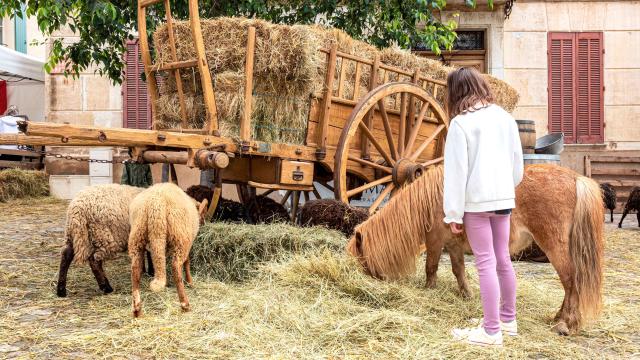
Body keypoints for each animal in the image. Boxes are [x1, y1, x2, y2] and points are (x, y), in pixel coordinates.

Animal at [129, 184, 209, 316]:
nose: (204, 223)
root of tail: (156, 205)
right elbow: (187, 262)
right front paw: (190, 282)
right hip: (180, 239)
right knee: (176, 266)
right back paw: (185, 304)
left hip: (137, 236)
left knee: (135, 270)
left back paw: (137, 310)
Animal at [350, 164, 604, 334]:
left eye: (361, 258)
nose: (365, 281)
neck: (430, 201)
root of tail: (575, 178)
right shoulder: (453, 246)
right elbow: (458, 271)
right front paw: (467, 295)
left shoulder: (434, 242)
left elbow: (431, 268)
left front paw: (429, 292)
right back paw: (558, 318)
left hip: (553, 245)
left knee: (570, 281)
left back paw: (564, 324)